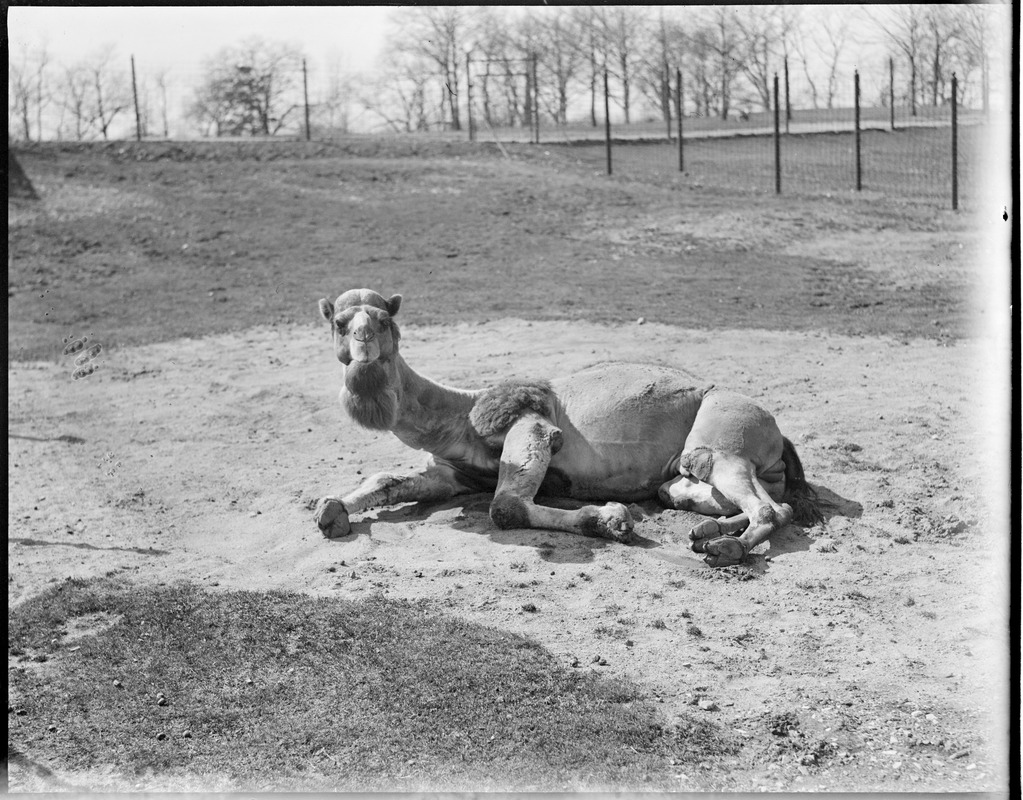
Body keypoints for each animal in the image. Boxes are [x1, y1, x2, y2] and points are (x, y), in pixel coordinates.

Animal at [310, 290, 822, 568]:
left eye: (383, 320)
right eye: (339, 322)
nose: (363, 349)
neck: (463, 413)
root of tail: (779, 431)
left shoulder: (531, 424)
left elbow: (506, 508)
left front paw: (610, 519)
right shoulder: (453, 472)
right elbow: (389, 479)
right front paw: (332, 511)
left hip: (721, 435)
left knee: (770, 508)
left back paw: (724, 549)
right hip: (695, 470)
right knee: (695, 493)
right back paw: (707, 531)